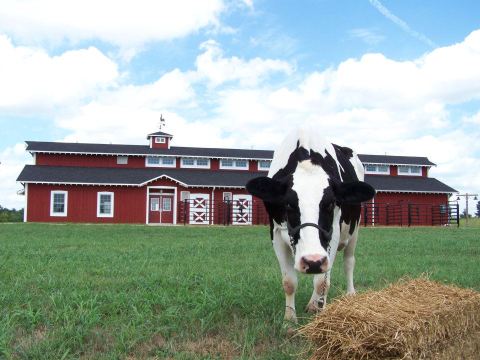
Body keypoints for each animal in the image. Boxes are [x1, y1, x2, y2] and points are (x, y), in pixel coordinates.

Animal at [248, 128, 376, 322]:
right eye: (288, 204)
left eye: (331, 204)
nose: (313, 261)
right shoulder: (276, 232)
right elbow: (289, 282)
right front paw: (289, 319)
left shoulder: (333, 232)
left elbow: (322, 281)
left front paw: (319, 314)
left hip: (354, 228)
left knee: (348, 262)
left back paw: (349, 294)